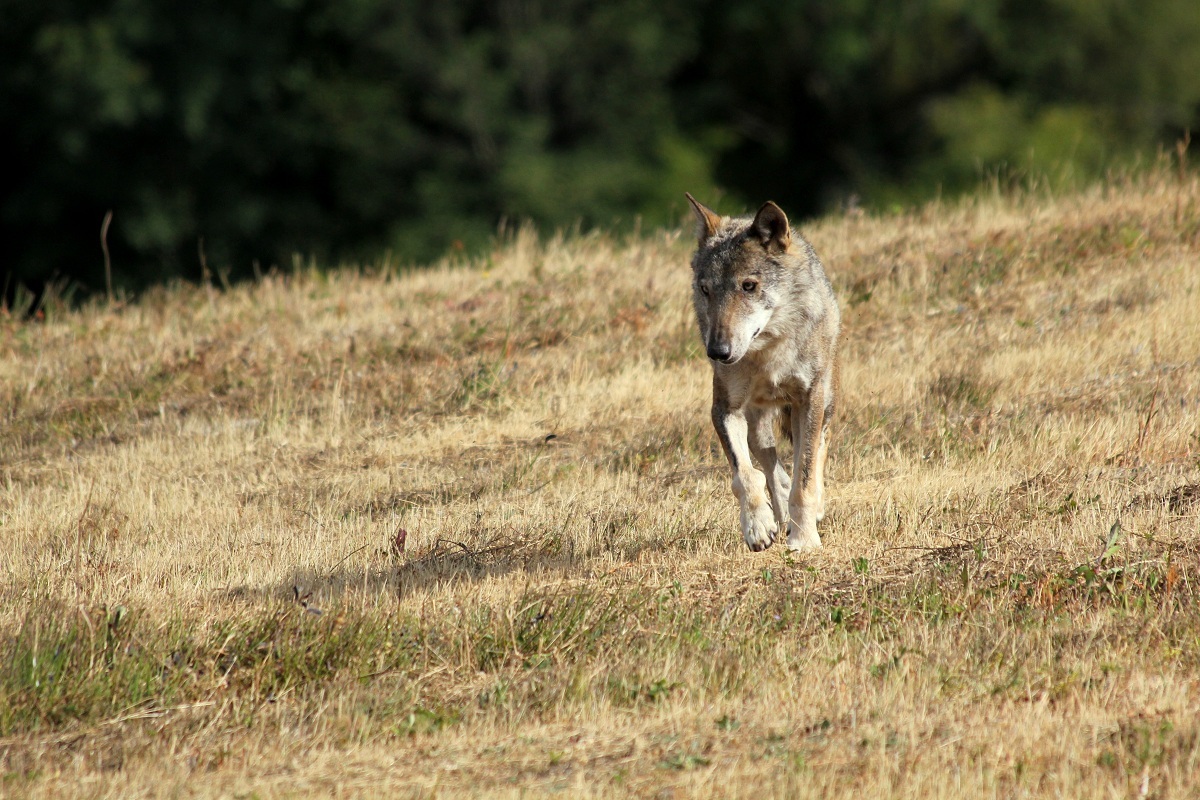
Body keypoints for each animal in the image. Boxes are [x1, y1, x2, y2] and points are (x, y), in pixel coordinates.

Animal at [685, 193, 841, 551]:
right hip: (757, 424)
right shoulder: (724, 409)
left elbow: (805, 476)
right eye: (705, 290)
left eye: (748, 285)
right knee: (770, 467)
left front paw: (804, 539)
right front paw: (757, 527)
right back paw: (779, 513)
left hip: (821, 403)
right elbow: (744, 476)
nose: (717, 352)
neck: (768, 354)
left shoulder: (809, 400)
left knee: (815, 451)